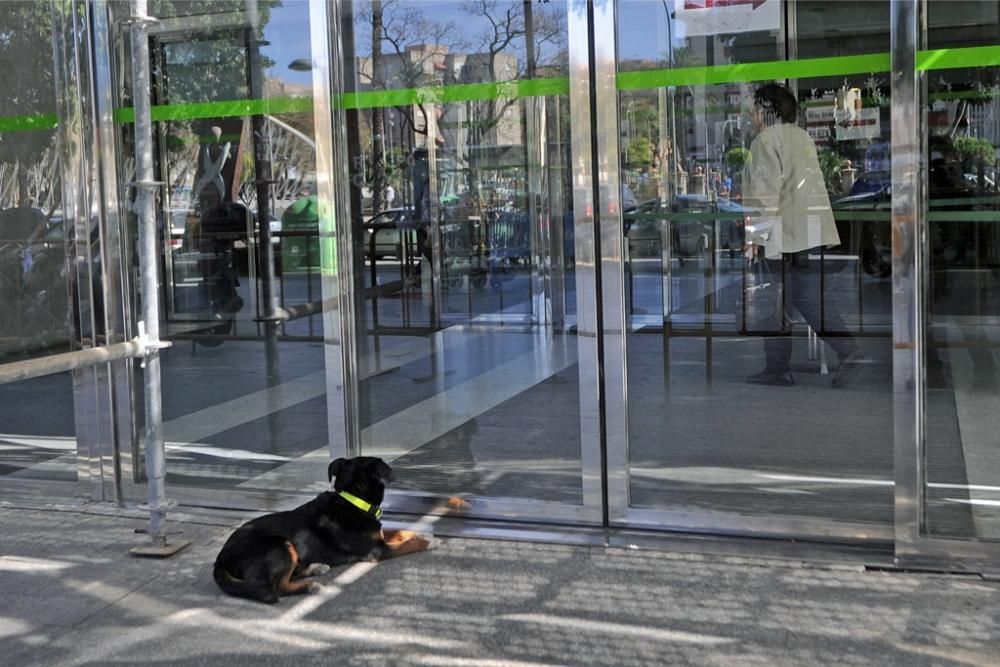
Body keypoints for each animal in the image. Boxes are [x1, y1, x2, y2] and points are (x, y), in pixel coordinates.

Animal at [215, 456, 438, 604]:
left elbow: (400, 530)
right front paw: (430, 542)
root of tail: (221, 558)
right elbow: (408, 544)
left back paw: (315, 568)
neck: (351, 500)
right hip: (280, 545)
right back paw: (310, 586)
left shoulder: (378, 537)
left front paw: (424, 532)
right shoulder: (377, 550)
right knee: (276, 586)